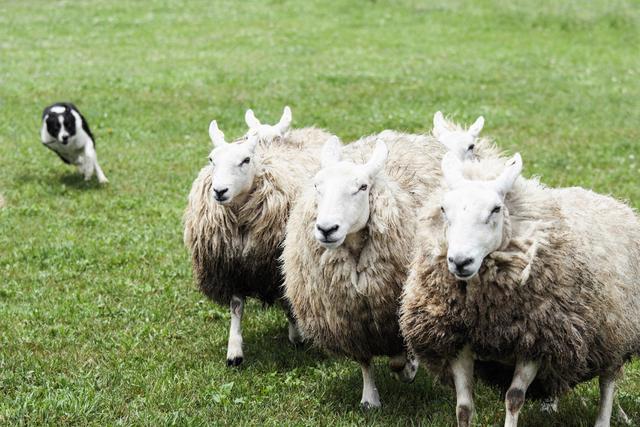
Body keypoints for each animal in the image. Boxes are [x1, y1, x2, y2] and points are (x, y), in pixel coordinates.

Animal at [181, 109, 328, 368]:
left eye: (245, 160)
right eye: (211, 160)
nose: (219, 191)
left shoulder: (276, 263)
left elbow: (287, 299)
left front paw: (296, 335)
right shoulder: (232, 266)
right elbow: (236, 307)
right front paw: (234, 350)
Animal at [282, 131, 456, 412]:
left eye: (362, 187)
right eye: (318, 186)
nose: (326, 229)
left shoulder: (392, 311)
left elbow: (398, 356)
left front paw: (408, 369)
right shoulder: (351, 320)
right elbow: (364, 360)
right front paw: (369, 399)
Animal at [400, 152, 640, 426]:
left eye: (495, 209)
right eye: (443, 209)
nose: (460, 261)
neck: (484, 311)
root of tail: (608, 199)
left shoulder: (536, 340)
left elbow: (514, 398)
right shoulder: (457, 339)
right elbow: (463, 407)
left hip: (616, 330)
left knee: (608, 380)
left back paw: (603, 419)